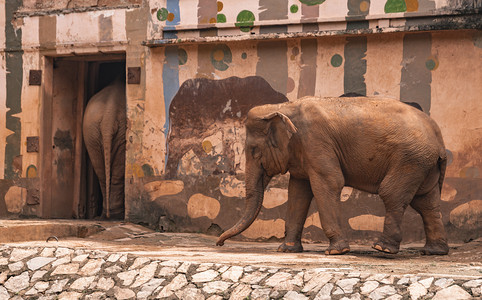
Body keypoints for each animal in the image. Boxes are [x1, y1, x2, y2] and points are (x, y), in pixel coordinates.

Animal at [217, 96, 450, 255]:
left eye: (255, 151)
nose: (219, 243)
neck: (283, 107)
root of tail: (439, 137)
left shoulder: (316, 141)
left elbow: (329, 183)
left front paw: (336, 251)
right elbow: (298, 192)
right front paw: (286, 249)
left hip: (410, 159)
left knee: (392, 194)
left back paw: (382, 248)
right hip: (423, 163)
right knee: (426, 203)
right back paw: (433, 251)